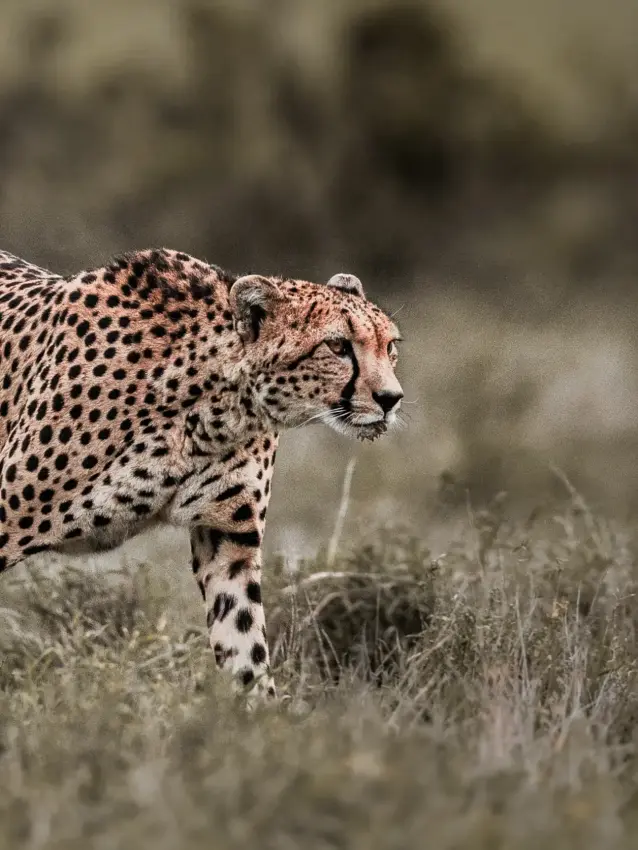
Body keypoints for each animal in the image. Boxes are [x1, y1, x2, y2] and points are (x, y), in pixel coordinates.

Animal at [0, 247, 403, 699]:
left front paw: (260, 712)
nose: (391, 398)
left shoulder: (230, 542)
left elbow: (245, 645)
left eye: (390, 346)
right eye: (337, 346)